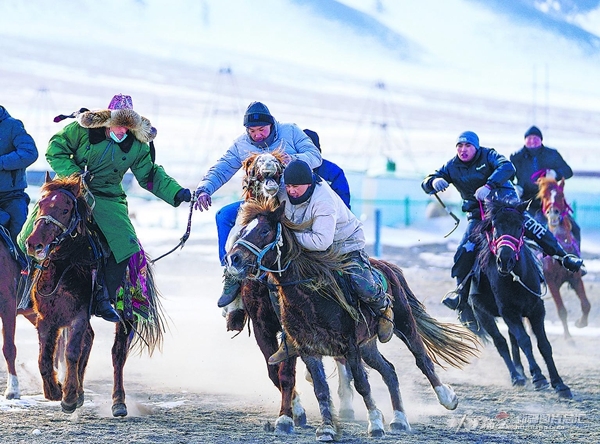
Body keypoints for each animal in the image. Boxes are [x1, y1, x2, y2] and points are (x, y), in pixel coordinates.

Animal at [24, 173, 166, 416]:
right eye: (40, 204)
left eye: (65, 210)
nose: (34, 244)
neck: (65, 266)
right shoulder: (46, 319)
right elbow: (45, 358)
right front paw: (55, 390)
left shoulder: (78, 316)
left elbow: (71, 352)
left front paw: (69, 397)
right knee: (89, 340)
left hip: (127, 316)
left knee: (117, 354)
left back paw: (118, 401)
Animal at [224, 200, 478, 440]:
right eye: (243, 229)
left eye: (264, 230)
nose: (233, 258)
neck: (311, 294)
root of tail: (387, 267)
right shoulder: (305, 347)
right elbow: (318, 388)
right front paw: (325, 428)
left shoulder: (349, 345)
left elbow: (362, 384)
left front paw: (374, 423)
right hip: (369, 346)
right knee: (389, 370)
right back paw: (399, 419)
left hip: (404, 325)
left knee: (421, 358)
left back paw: (447, 398)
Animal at [468, 199, 572, 398]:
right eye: (495, 226)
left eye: (520, 226)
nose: (504, 259)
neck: (515, 278)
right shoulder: (509, 312)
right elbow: (525, 341)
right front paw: (539, 377)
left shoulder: (537, 310)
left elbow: (544, 344)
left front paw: (560, 384)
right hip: (483, 314)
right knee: (501, 342)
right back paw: (517, 376)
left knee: (511, 338)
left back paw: (521, 371)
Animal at [536, 175, 588, 338]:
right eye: (544, 196)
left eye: (560, 195)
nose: (553, 213)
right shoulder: (551, 282)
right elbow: (562, 311)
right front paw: (568, 338)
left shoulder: (575, 277)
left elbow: (586, 304)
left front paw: (580, 323)